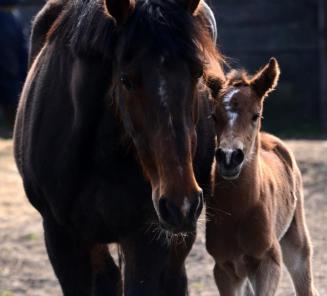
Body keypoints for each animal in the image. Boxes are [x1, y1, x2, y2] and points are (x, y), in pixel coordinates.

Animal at [208, 58, 320, 296]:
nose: (229, 157)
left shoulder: (269, 262)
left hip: (297, 243)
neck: (239, 210)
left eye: (255, 115)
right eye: (214, 117)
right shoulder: (223, 267)